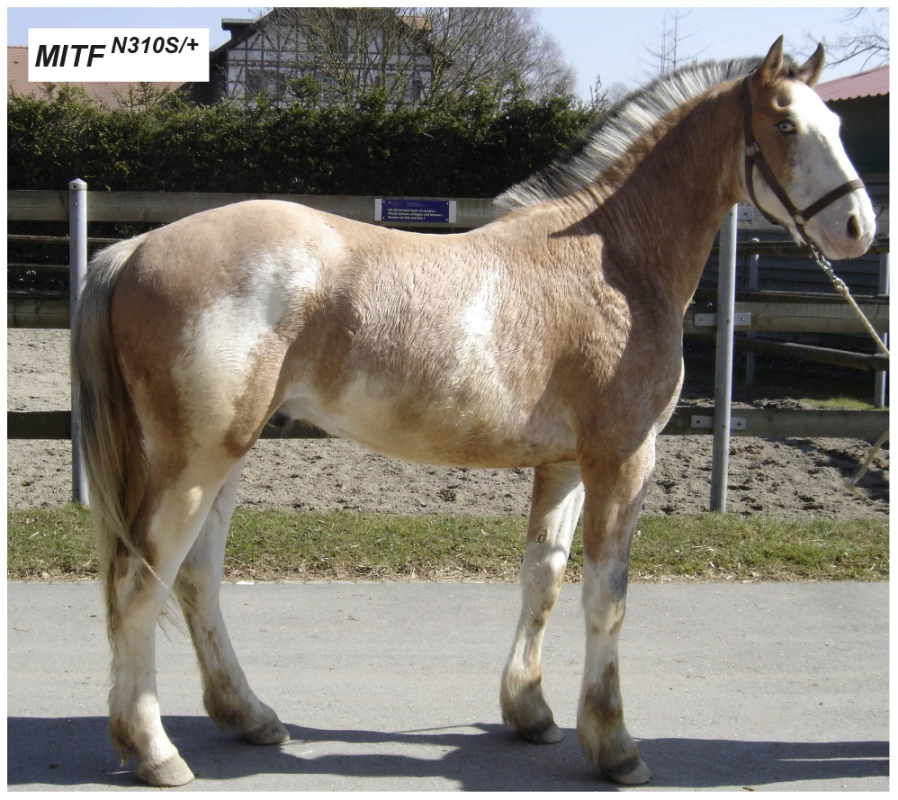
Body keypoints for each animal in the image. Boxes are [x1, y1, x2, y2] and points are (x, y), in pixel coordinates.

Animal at [72, 37, 874, 787]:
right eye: (785, 123)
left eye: (837, 121)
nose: (860, 226)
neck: (615, 260)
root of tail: (135, 247)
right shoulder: (622, 459)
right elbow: (606, 597)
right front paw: (615, 746)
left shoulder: (565, 466)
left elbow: (543, 579)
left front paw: (531, 712)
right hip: (193, 466)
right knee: (139, 586)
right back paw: (156, 752)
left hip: (225, 461)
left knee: (196, 581)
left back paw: (249, 716)